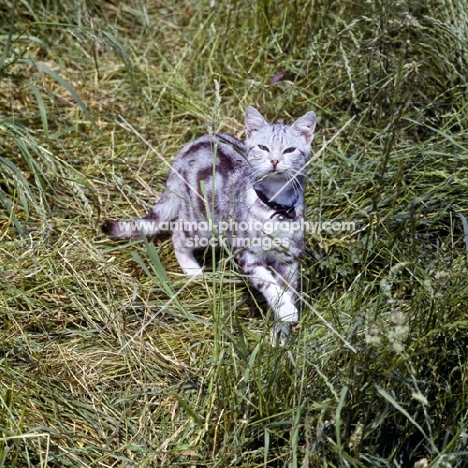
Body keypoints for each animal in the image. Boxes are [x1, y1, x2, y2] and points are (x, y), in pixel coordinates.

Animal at [102, 107, 318, 344]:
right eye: (263, 147)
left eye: (290, 150)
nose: (275, 161)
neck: (276, 205)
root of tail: (190, 146)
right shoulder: (247, 255)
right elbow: (269, 285)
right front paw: (286, 312)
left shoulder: (290, 259)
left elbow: (287, 292)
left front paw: (280, 336)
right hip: (201, 223)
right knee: (178, 235)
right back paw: (193, 271)